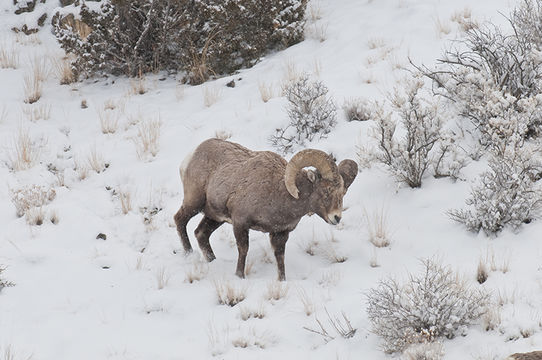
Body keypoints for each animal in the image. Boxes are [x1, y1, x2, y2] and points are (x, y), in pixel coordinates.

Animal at [176, 139, 360, 282]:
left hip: (215, 218)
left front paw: (282, 280)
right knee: (179, 220)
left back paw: (212, 261)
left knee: (201, 233)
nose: (336, 218)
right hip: (194, 203)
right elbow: (243, 250)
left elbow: (280, 257)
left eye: (343, 192)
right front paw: (239, 276)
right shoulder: (240, 223)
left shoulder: (280, 233)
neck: (278, 192)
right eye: (327, 190)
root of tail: (191, 156)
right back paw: (188, 254)